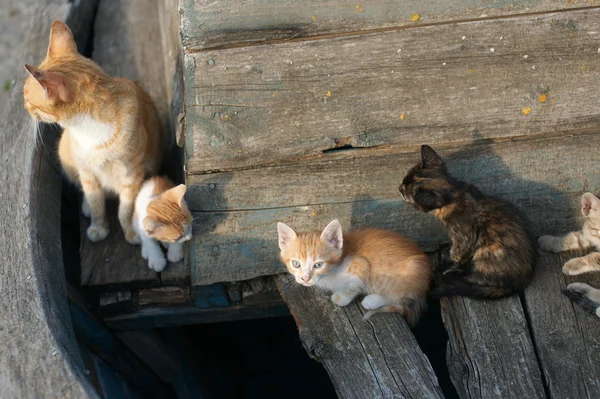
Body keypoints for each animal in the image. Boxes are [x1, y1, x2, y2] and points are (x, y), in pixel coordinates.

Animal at [22, 21, 164, 244]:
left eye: (27, 98)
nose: (23, 106)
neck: (89, 131)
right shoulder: (87, 173)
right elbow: (96, 204)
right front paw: (98, 227)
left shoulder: (132, 174)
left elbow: (126, 210)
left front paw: (131, 232)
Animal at [276, 220, 432, 326]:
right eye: (296, 264)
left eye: (318, 264)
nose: (305, 278)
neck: (331, 273)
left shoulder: (361, 265)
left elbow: (353, 286)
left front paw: (341, 297)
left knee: (399, 297)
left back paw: (372, 300)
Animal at [398, 145, 536, 298]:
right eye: (405, 180)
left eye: (406, 193)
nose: (399, 188)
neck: (455, 194)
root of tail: (521, 281)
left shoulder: (463, 236)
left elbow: (458, 252)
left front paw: (450, 259)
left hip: (487, 252)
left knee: (480, 279)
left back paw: (452, 274)